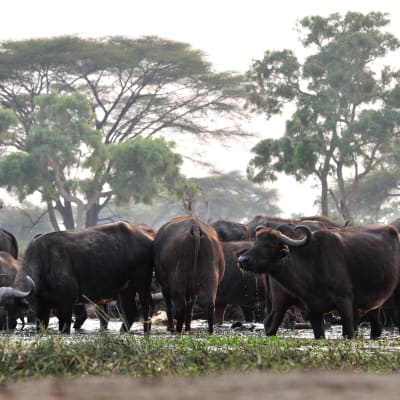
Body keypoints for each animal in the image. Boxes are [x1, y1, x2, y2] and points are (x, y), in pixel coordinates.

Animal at [0, 222, 153, 334]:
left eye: (6, 306)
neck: (44, 263)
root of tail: (148, 236)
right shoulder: (42, 308)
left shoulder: (66, 305)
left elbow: (65, 326)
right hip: (126, 288)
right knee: (130, 310)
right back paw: (123, 331)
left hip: (142, 281)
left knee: (146, 304)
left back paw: (146, 331)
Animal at [238, 223, 400, 340]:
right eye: (255, 242)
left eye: (269, 245)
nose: (242, 260)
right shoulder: (313, 310)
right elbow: (320, 334)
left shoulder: (345, 302)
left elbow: (348, 332)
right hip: (280, 302)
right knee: (270, 324)